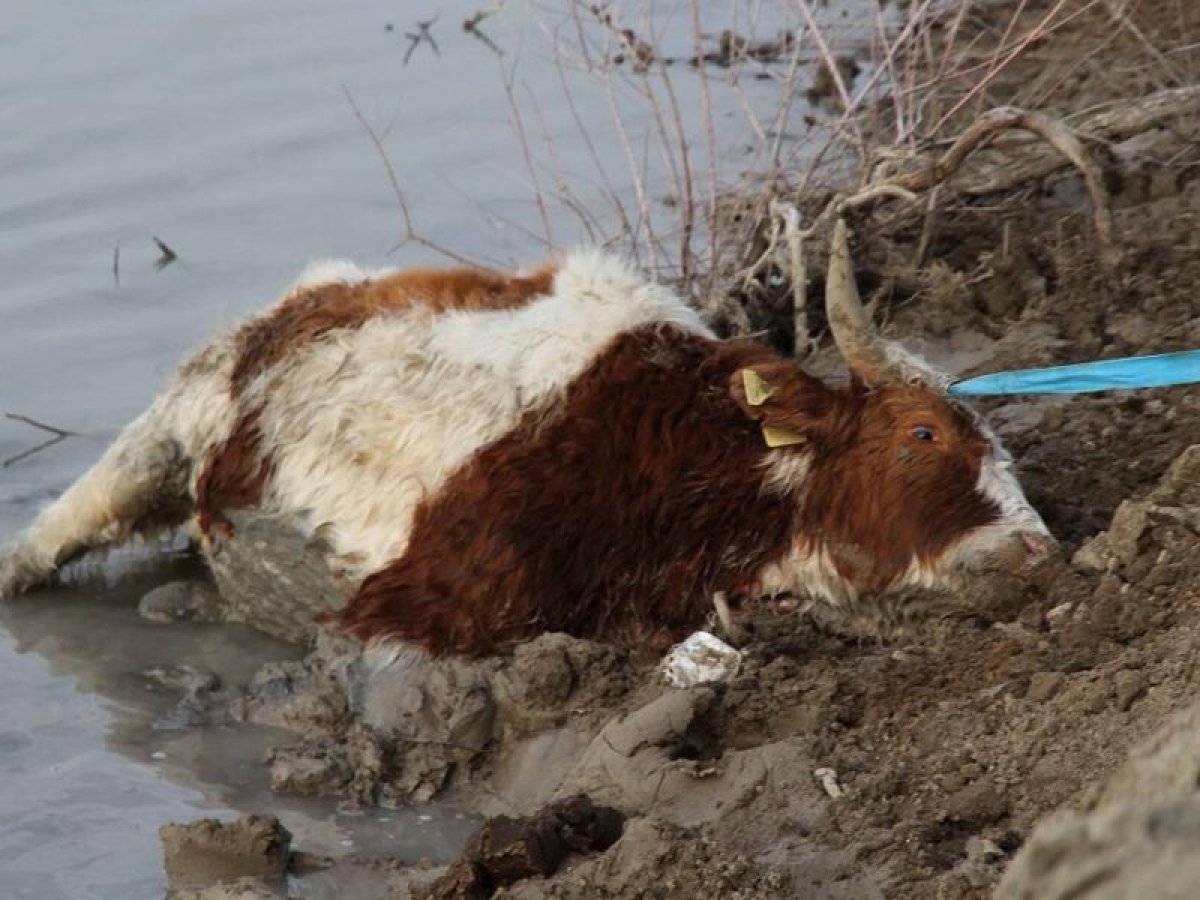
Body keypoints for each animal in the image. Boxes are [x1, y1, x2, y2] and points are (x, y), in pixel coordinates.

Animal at [0, 218, 1051, 657]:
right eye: (924, 432)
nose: (1039, 551)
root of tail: (301, 299)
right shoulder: (422, 604)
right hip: (157, 437)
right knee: (49, 537)